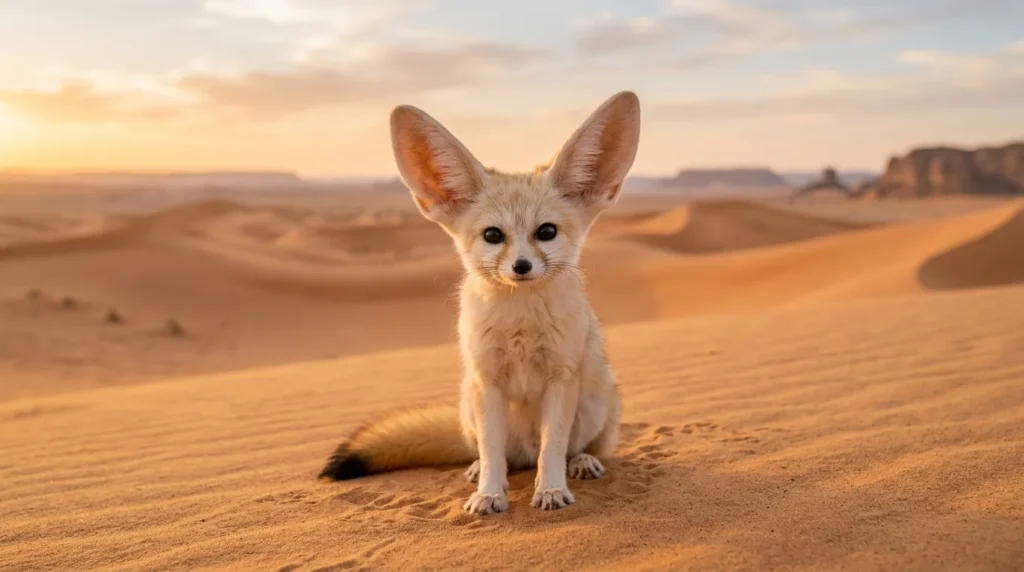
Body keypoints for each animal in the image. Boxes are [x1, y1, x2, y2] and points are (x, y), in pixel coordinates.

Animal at [318, 91, 642, 515]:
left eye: (546, 232)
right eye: (492, 235)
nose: (521, 267)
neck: (520, 326)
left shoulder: (560, 378)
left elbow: (553, 448)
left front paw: (551, 489)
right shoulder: (487, 379)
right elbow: (491, 451)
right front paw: (489, 493)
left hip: (595, 403)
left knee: (568, 449)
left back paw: (583, 462)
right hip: (470, 404)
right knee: (500, 456)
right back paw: (478, 471)